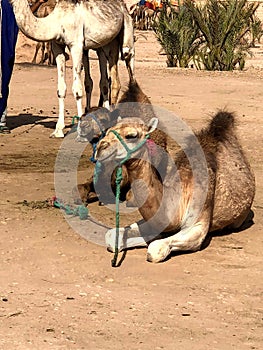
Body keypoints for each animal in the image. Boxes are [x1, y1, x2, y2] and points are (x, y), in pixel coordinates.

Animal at [9, 0, 135, 137]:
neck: (57, 20)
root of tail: (123, 6)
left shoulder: (76, 45)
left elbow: (77, 90)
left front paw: (80, 130)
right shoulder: (57, 45)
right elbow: (61, 89)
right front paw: (58, 130)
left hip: (126, 33)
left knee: (127, 67)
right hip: (104, 44)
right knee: (105, 82)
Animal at [95, 110, 256, 262]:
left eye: (131, 135)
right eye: (108, 131)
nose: (100, 148)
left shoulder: (198, 225)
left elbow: (155, 248)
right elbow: (111, 236)